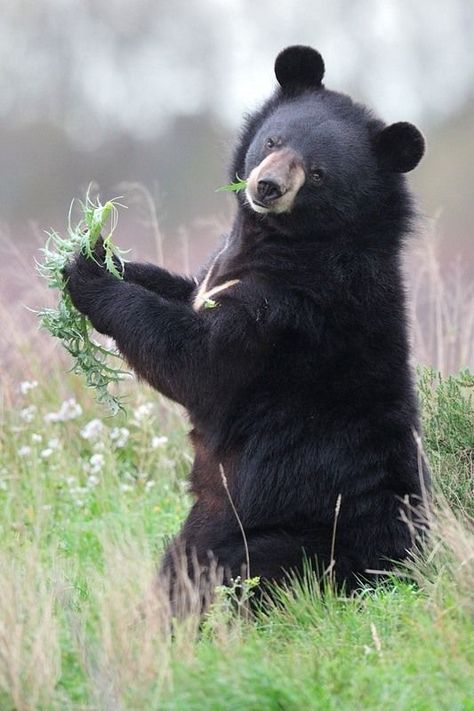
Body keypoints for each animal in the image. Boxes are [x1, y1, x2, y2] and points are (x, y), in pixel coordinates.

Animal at [65, 44, 432, 600]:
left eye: (318, 173)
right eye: (274, 140)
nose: (267, 186)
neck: (281, 240)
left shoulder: (286, 313)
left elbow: (197, 362)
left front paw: (84, 272)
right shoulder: (214, 276)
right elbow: (183, 289)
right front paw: (95, 247)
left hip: (272, 529)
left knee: (215, 571)